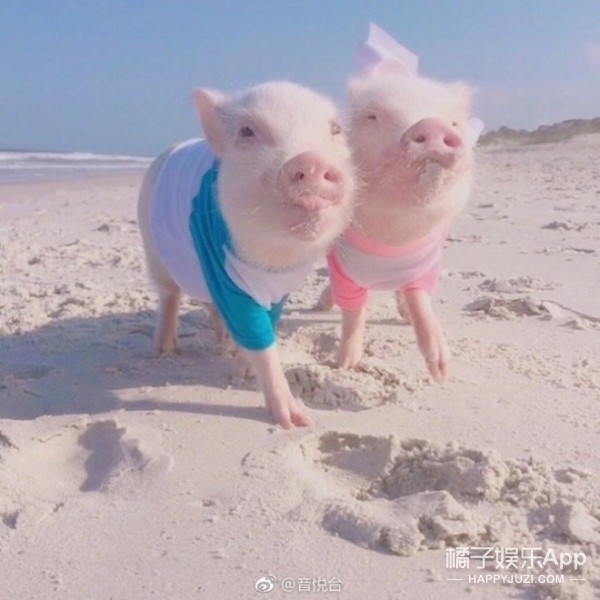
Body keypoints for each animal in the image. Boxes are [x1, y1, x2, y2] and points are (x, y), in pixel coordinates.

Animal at [138, 81, 355, 429]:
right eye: (247, 131)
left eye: (335, 130)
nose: (312, 161)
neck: (272, 260)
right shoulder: (223, 269)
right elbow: (258, 337)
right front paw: (295, 421)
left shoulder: (279, 289)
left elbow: (265, 325)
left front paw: (244, 371)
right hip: (153, 250)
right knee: (169, 294)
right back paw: (165, 350)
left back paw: (223, 342)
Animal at [318, 24, 481, 382]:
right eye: (372, 117)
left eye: (453, 123)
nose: (430, 125)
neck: (390, 238)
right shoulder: (343, 264)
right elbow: (353, 313)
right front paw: (344, 365)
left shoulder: (425, 261)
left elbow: (420, 298)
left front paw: (440, 371)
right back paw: (320, 306)